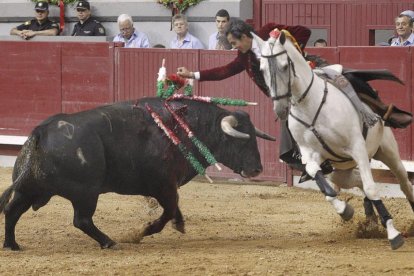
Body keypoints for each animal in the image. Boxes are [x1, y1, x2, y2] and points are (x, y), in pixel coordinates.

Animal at [0, 97, 274, 250]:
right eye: (240, 140)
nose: (256, 169)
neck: (185, 127)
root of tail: (41, 131)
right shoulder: (164, 185)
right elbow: (169, 210)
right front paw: (143, 231)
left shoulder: (167, 186)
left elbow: (174, 208)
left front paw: (179, 224)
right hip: (86, 192)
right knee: (82, 220)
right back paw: (109, 242)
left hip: (30, 189)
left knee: (13, 211)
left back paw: (12, 244)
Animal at [252, 30, 414, 250]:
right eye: (262, 69)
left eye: (285, 66)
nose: (280, 109)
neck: (310, 106)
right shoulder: (310, 155)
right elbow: (322, 183)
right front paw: (345, 210)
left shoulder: (357, 148)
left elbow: (372, 188)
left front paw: (393, 233)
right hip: (340, 171)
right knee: (357, 181)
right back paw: (370, 220)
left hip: (388, 152)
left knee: (403, 183)